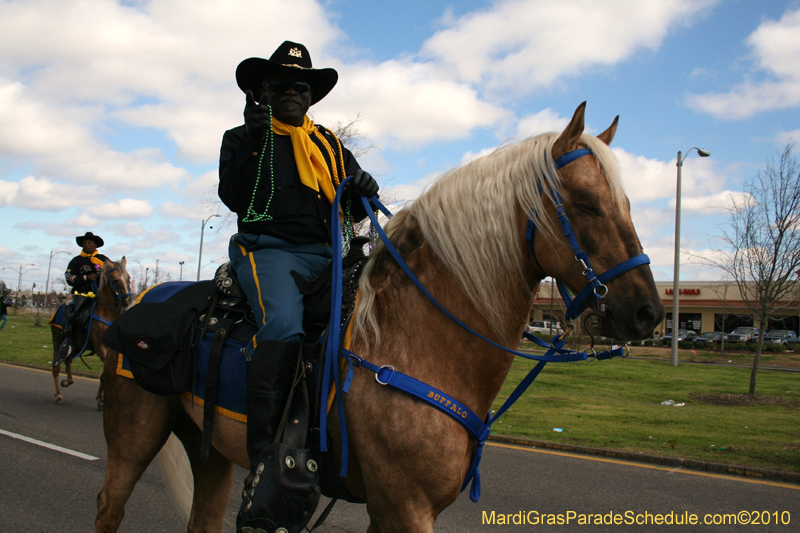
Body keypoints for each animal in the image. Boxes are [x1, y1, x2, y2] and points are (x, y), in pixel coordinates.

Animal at [49, 258, 130, 408]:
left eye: (128, 278)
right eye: (116, 280)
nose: (126, 301)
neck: (108, 313)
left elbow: (105, 374)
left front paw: (100, 398)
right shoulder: (100, 347)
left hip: (77, 345)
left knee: (68, 360)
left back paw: (67, 381)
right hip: (57, 341)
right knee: (56, 367)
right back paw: (58, 394)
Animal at [97, 102, 664, 528]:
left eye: (628, 203)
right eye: (586, 202)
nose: (647, 313)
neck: (416, 338)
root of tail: (143, 301)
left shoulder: (392, 509)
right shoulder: (404, 508)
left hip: (210, 449)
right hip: (133, 440)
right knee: (110, 507)